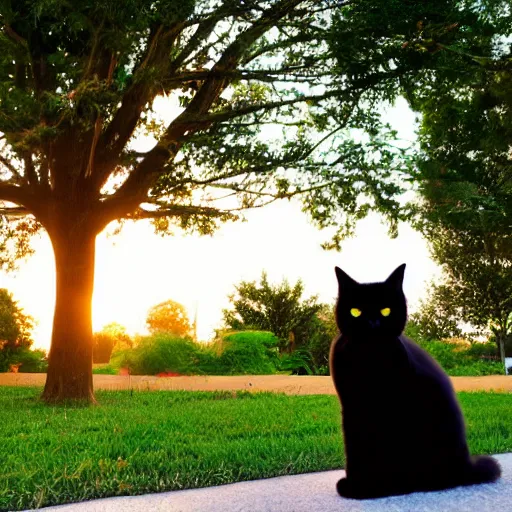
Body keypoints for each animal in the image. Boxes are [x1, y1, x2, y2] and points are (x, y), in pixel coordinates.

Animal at [330, 266, 502, 498]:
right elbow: (354, 446)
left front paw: (367, 488)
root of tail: (465, 468)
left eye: (386, 310)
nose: (373, 323)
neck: (369, 358)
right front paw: (358, 483)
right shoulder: (351, 408)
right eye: (355, 311)